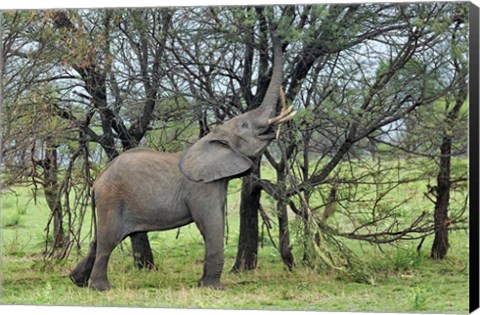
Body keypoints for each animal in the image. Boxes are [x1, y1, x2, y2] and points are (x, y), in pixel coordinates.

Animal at [67, 36, 292, 292]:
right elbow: (212, 225)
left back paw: (76, 281)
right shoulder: (202, 187)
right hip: (112, 198)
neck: (212, 138)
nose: (279, 38)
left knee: (98, 241)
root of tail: (97, 182)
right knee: (108, 241)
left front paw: (204, 284)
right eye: (244, 125)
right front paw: (212, 288)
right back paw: (102, 288)